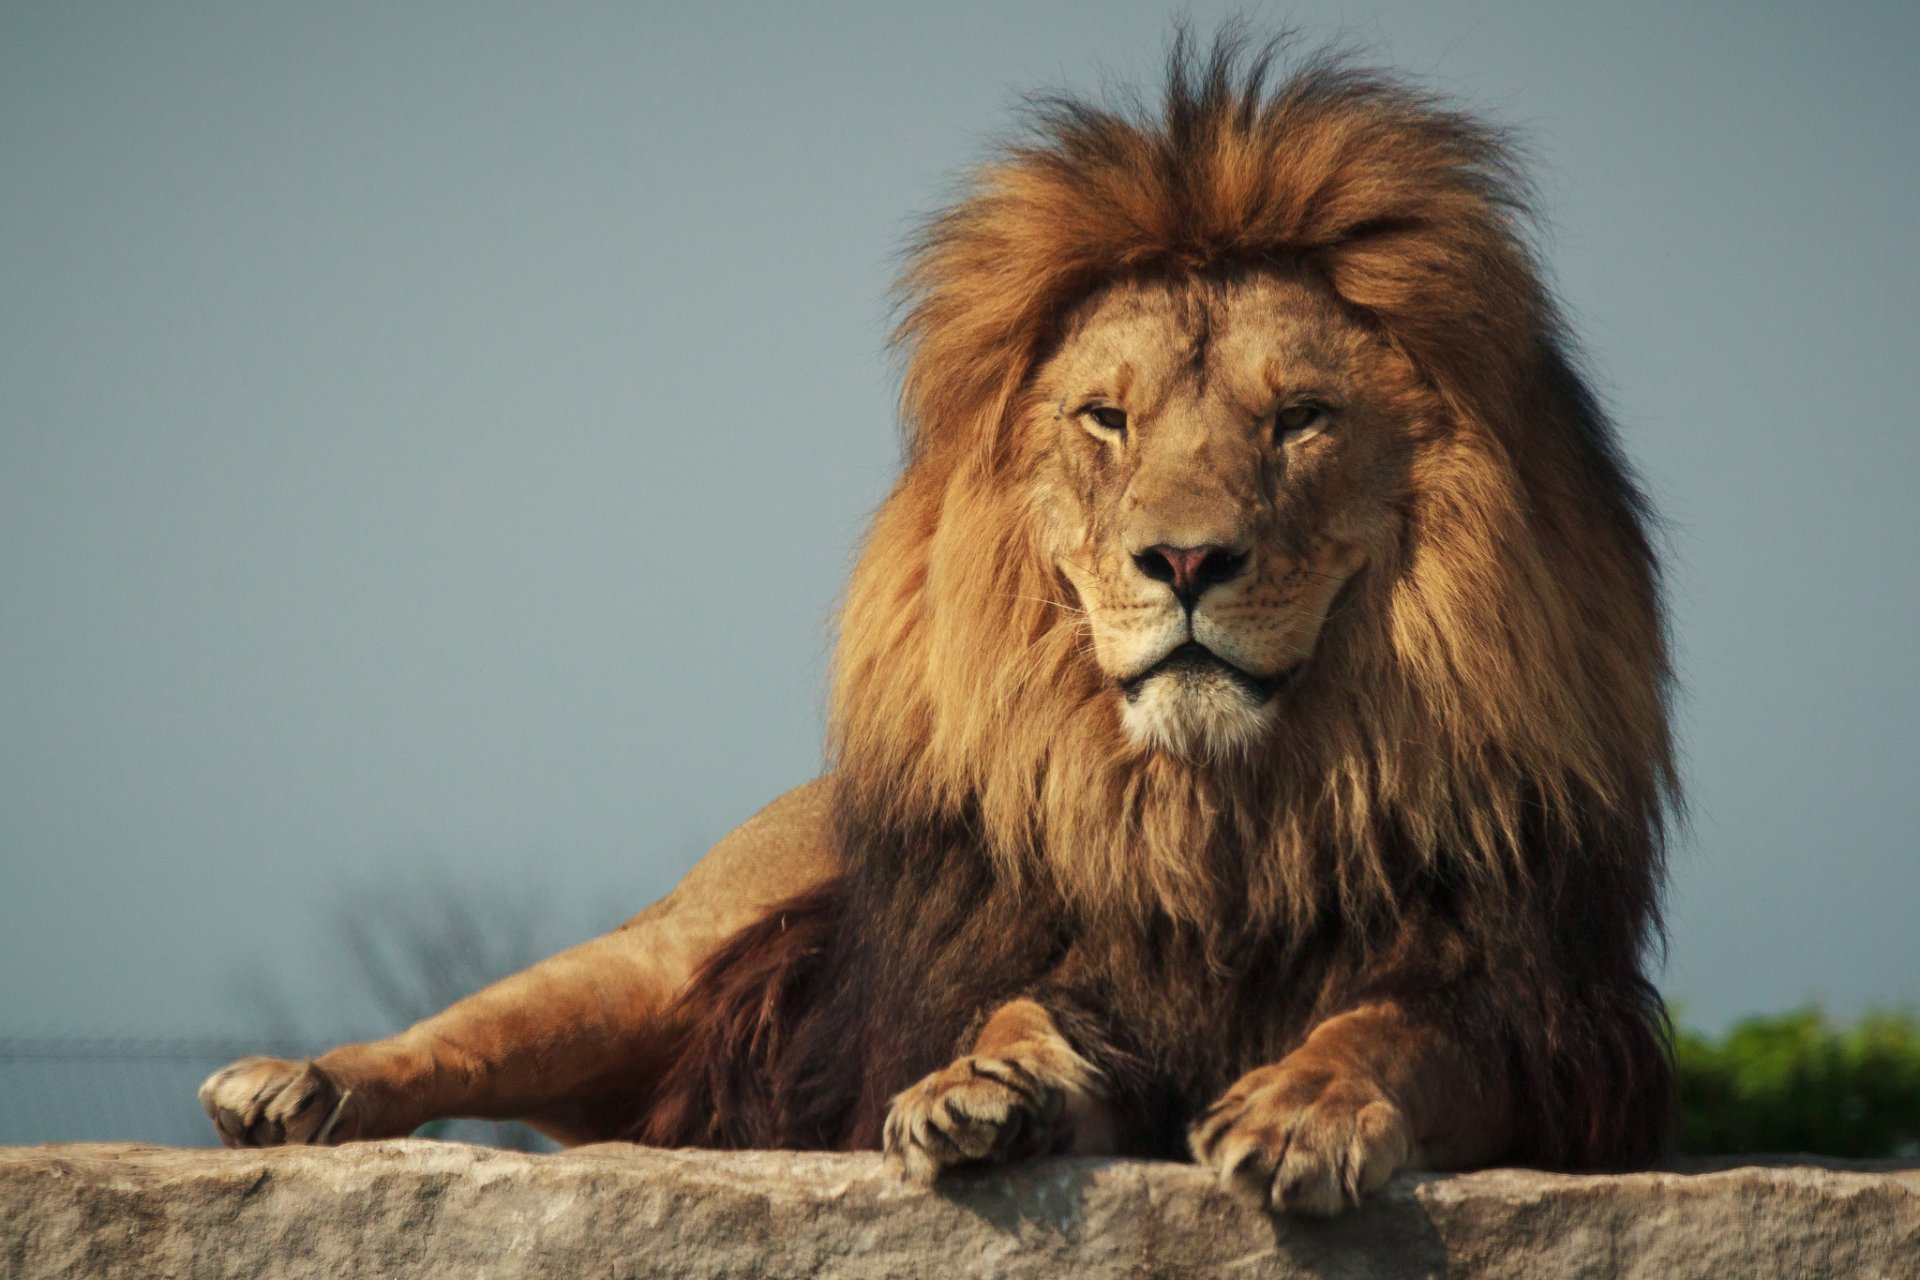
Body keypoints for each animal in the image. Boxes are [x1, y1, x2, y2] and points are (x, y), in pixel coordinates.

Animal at [201, 37, 1675, 1215]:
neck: (1216, 815)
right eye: (1108, 418)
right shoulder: (1060, 975)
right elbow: (1020, 1006)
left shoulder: (1547, 1036)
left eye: (1300, 418)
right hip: (657, 956)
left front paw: (1305, 1108)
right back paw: (291, 1088)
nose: (1186, 558)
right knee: (465, 1028)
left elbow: (1393, 1030)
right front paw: (982, 1083)